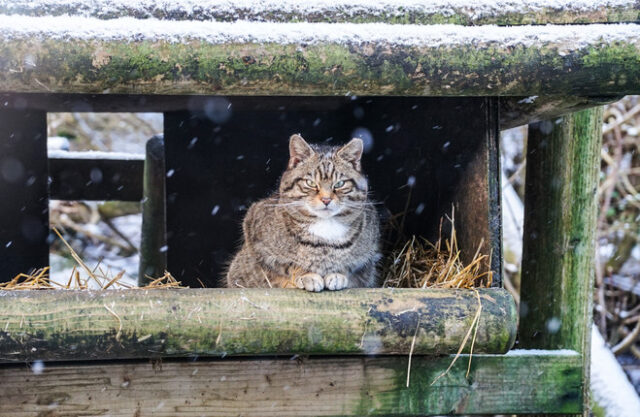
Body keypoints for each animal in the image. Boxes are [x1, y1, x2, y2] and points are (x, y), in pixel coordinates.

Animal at [226, 135, 380, 290]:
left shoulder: (366, 254)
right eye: (310, 183)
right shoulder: (255, 234)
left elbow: (349, 266)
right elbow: (287, 264)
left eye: (339, 184)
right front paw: (306, 275)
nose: (326, 199)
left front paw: (338, 274)